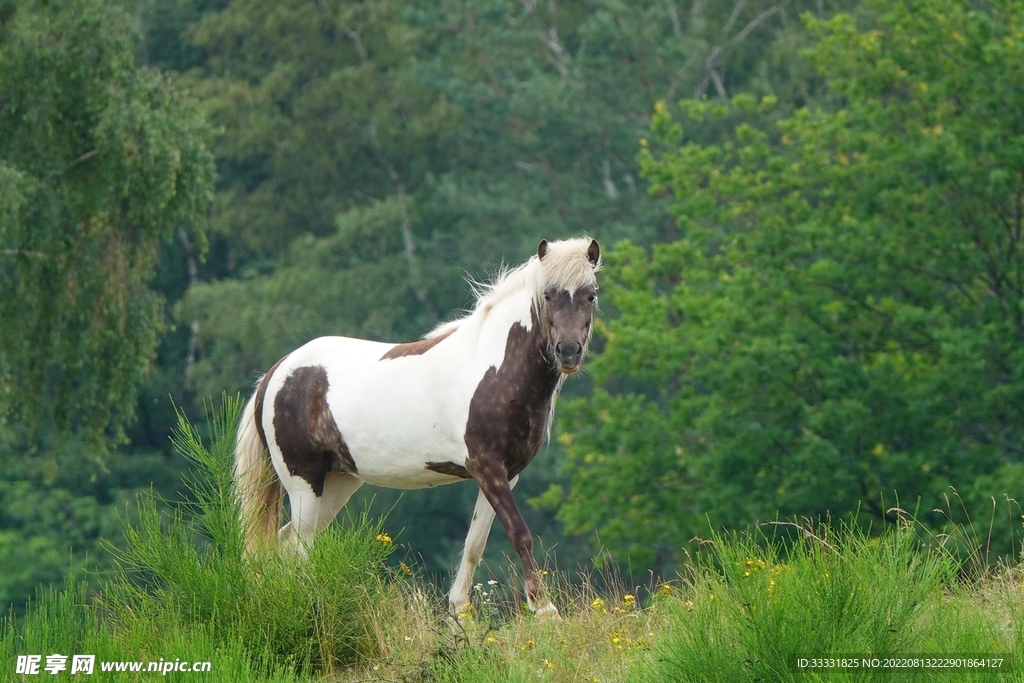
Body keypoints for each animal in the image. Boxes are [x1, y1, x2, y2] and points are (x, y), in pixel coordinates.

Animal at [233, 236, 601, 619]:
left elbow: (475, 544)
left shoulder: (507, 474)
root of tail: (276, 373)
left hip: (336, 482)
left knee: (287, 543)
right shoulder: (487, 468)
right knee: (300, 547)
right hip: (303, 482)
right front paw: (545, 611)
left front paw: (460, 615)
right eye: (547, 295)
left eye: (590, 294)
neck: (494, 369)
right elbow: (519, 534)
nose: (568, 352)